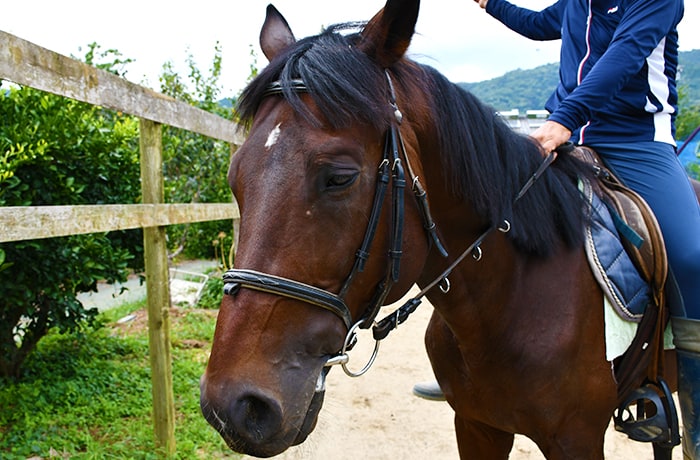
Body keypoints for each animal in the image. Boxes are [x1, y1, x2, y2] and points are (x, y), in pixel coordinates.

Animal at [199, 0, 700, 458]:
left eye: (340, 177)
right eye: (235, 178)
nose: (235, 407)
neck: (513, 296)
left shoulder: (575, 439)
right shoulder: (477, 426)